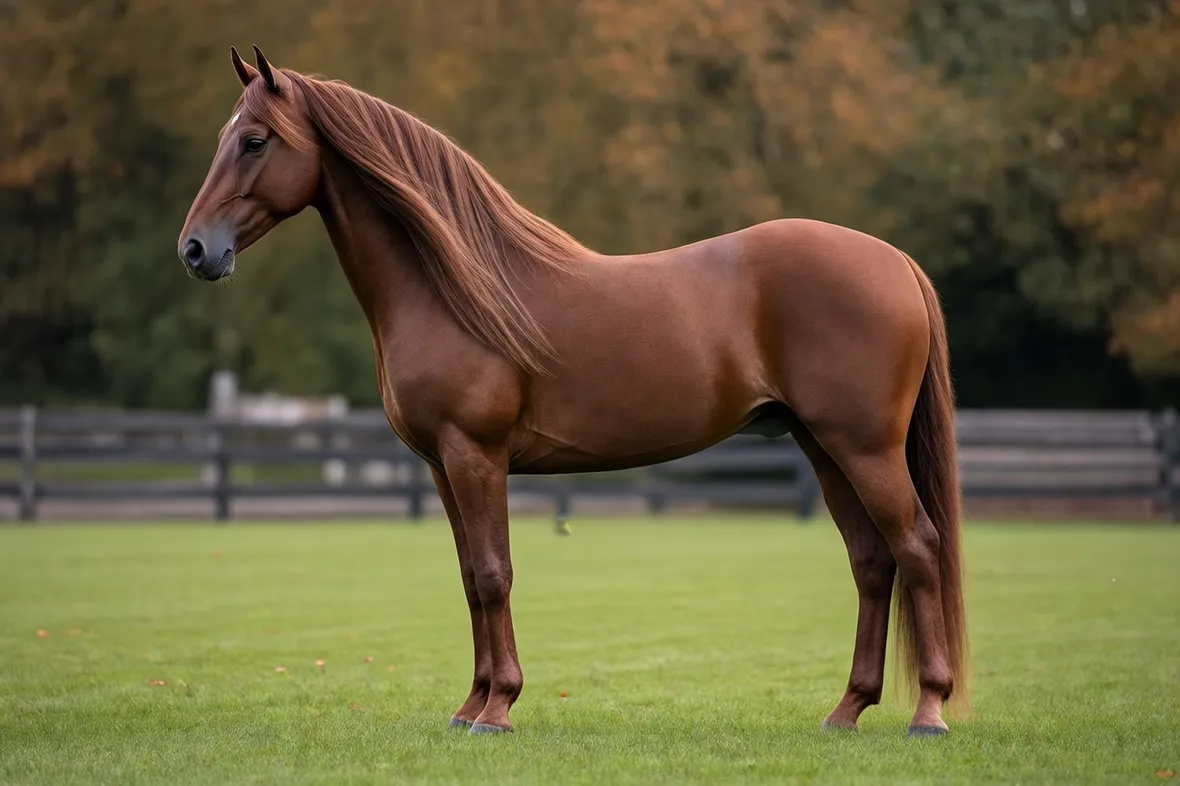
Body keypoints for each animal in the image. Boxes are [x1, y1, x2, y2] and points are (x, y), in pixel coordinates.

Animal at [179, 46, 969, 737]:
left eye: (254, 141)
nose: (195, 249)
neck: (451, 288)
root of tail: (893, 260)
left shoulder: (475, 454)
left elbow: (494, 573)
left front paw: (497, 710)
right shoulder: (439, 466)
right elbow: (469, 579)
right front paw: (469, 706)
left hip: (864, 448)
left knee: (917, 547)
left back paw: (928, 712)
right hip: (823, 447)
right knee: (871, 561)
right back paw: (847, 711)